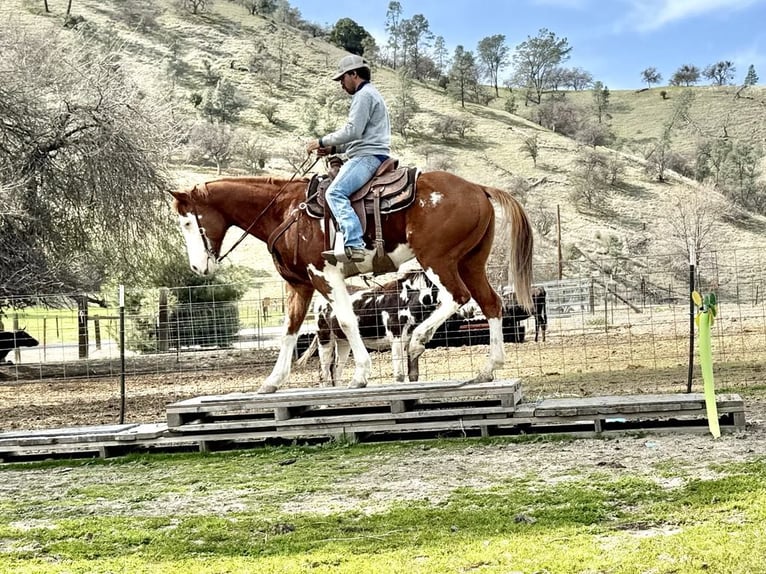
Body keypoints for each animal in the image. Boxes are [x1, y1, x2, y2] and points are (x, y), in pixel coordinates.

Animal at [302, 274, 444, 388]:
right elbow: (399, 374)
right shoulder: (396, 337)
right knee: (324, 372)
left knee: (336, 370)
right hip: (324, 338)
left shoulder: (410, 339)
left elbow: (413, 374)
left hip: (343, 342)